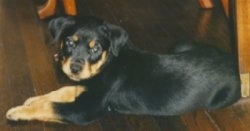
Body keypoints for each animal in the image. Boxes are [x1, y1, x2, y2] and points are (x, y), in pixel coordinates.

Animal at [5, 16, 240, 125]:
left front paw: (18, 111)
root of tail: (233, 60)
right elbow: (61, 92)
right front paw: (33, 99)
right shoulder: (87, 87)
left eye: (96, 49)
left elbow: (52, 106)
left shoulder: (87, 108)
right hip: (179, 45)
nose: (75, 67)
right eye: (70, 42)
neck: (107, 64)